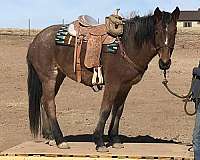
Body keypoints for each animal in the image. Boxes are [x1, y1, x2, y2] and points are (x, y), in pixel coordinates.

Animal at [26, 7, 180, 151]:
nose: (165, 63)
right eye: (157, 32)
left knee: (43, 101)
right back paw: (60, 140)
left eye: (174, 32)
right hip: (49, 77)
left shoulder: (125, 86)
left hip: (58, 76)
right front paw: (99, 141)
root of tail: (35, 41)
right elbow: (105, 109)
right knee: (50, 104)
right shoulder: (113, 83)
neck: (127, 45)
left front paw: (115, 139)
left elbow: (118, 110)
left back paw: (50, 137)